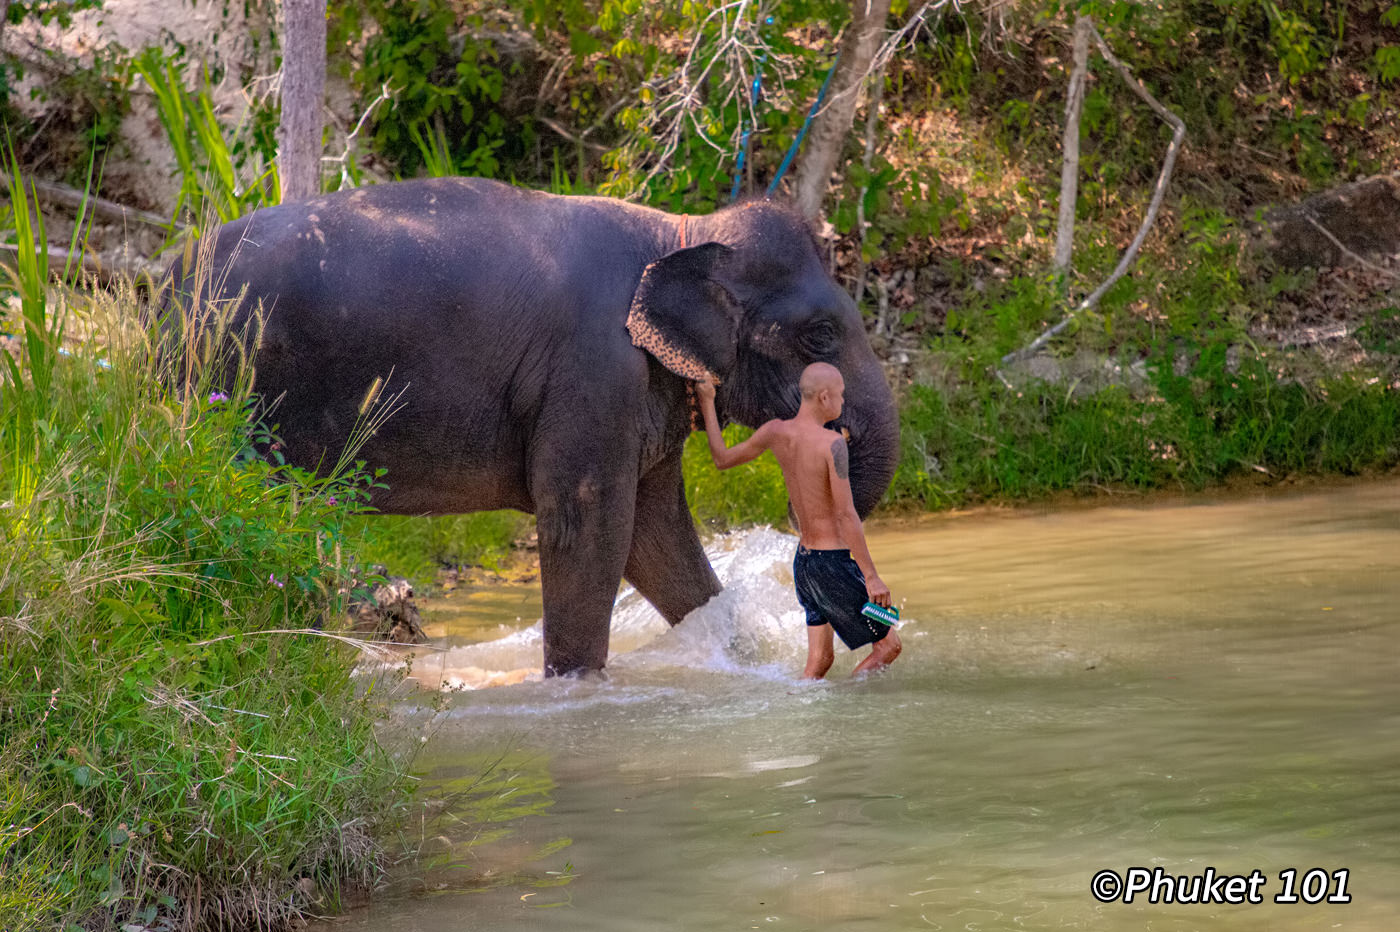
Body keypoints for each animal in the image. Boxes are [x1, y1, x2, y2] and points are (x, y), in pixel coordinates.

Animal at [168, 177, 899, 676]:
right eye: (821, 333)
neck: (682, 234)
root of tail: (164, 282)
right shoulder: (595, 369)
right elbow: (591, 523)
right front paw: (576, 691)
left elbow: (658, 534)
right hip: (227, 383)